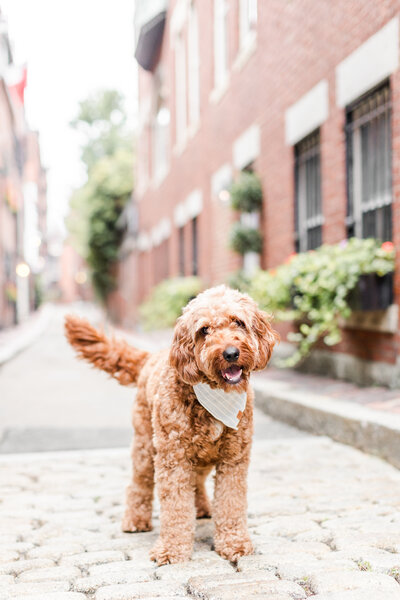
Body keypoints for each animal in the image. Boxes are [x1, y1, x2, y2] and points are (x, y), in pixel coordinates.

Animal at [65, 284, 278, 564]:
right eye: (204, 330)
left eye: (238, 322)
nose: (230, 353)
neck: (213, 395)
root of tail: (150, 357)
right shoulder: (173, 458)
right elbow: (175, 505)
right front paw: (172, 549)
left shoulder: (234, 459)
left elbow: (231, 501)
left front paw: (234, 543)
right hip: (146, 446)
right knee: (139, 483)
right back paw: (135, 520)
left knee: (196, 482)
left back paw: (202, 508)